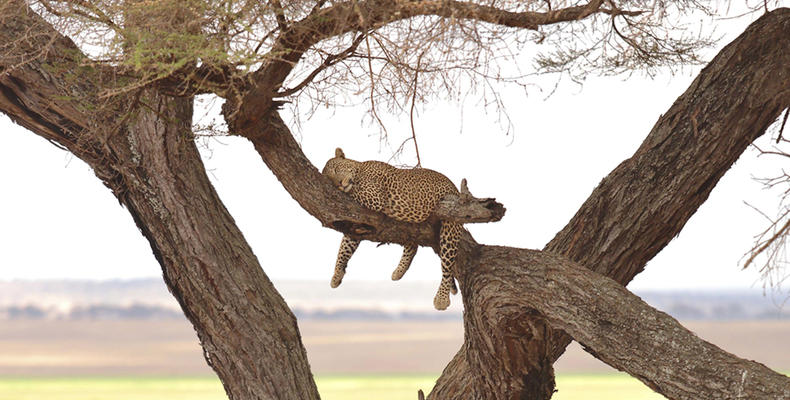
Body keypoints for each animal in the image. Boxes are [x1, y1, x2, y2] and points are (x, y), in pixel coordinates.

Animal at [322, 147, 464, 310]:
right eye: (330, 180)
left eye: (336, 169)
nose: (339, 184)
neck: (360, 169)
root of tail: (455, 189)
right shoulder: (356, 225)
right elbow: (344, 249)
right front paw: (336, 275)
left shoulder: (373, 197)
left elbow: (354, 193)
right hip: (413, 225)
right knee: (413, 247)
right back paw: (398, 272)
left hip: (450, 225)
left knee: (447, 265)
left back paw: (441, 299)